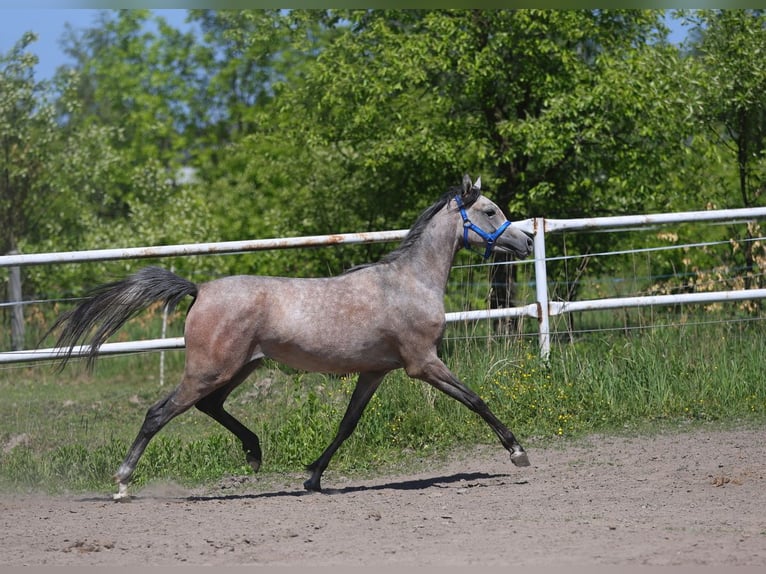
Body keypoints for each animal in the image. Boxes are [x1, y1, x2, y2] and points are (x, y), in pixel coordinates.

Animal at [51, 174, 536, 500]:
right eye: (489, 211)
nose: (528, 242)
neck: (409, 282)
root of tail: (199, 289)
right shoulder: (423, 363)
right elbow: (476, 399)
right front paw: (517, 452)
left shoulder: (375, 371)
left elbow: (347, 424)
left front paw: (313, 477)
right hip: (209, 370)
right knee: (158, 412)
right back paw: (122, 482)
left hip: (239, 368)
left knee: (210, 407)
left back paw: (253, 453)